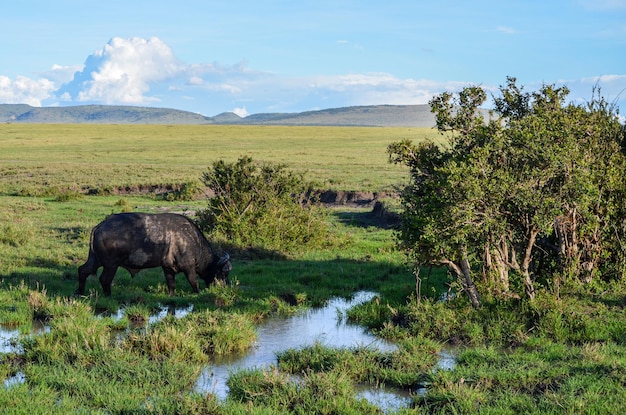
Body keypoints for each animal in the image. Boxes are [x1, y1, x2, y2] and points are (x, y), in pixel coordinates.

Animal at [76, 213, 232, 298]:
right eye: (223, 274)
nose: (225, 287)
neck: (192, 240)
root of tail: (100, 226)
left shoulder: (167, 268)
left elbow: (171, 284)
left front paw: (171, 296)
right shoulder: (188, 267)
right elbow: (194, 282)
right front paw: (198, 293)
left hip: (95, 260)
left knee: (82, 271)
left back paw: (79, 293)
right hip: (110, 264)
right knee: (104, 279)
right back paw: (108, 296)